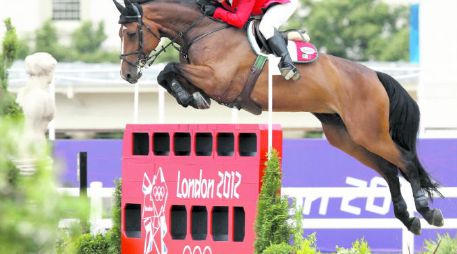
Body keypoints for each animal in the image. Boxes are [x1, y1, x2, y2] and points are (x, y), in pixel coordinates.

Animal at [113, 0, 442, 234]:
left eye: (130, 33)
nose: (128, 75)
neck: (201, 29)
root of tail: (373, 75)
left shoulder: (218, 79)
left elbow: (169, 68)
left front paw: (187, 97)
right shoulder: (206, 78)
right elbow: (169, 74)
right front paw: (190, 98)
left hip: (368, 131)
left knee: (405, 160)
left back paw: (427, 211)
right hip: (345, 136)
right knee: (388, 169)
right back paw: (408, 218)